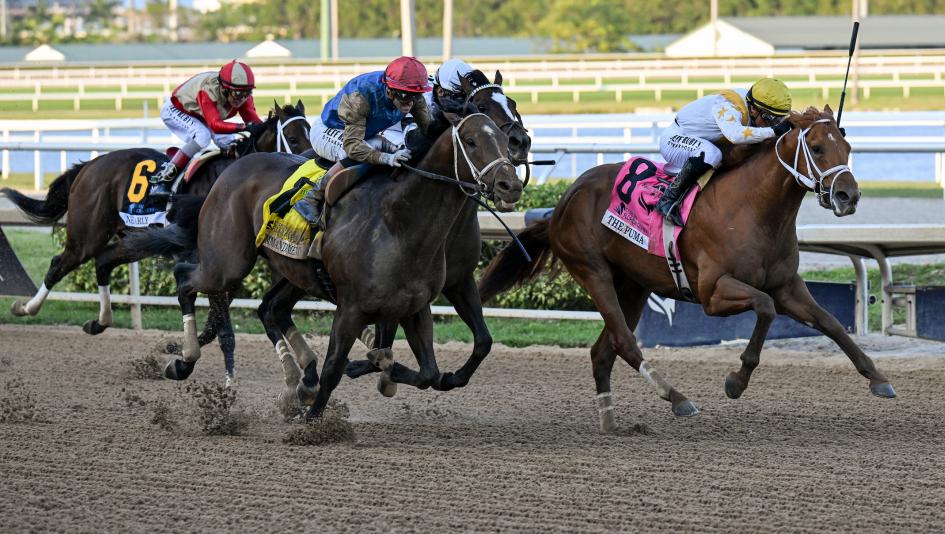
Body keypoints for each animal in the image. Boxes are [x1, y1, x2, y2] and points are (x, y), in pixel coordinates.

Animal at [479, 106, 897, 433]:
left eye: (847, 146)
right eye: (817, 147)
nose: (848, 195)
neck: (752, 209)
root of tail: (563, 203)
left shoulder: (787, 287)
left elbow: (831, 323)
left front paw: (878, 378)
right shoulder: (714, 292)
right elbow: (764, 309)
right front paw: (736, 381)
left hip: (632, 285)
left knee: (603, 351)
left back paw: (610, 422)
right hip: (593, 271)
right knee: (625, 343)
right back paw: (677, 398)